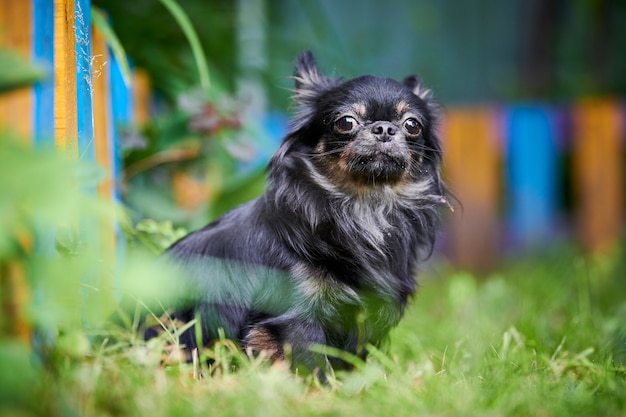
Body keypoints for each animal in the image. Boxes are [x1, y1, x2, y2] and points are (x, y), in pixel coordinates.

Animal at [158, 50, 446, 372]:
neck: (364, 208)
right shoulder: (296, 319)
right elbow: (314, 366)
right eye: (346, 122)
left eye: (412, 125)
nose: (384, 128)